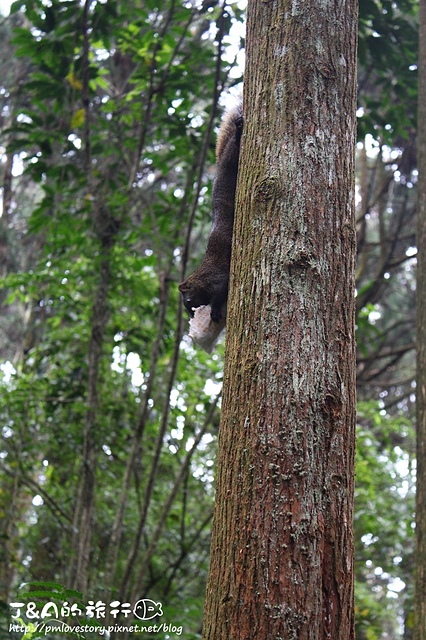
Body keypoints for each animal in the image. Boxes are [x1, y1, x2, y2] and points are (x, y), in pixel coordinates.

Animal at [178, 106, 243, 324]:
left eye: (188, 302)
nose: (191, 315)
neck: (202, 277)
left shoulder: (219, 278)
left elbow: (220, 293)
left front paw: (214, 311)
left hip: (231, 162)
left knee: (234, 148)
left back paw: (239, 131)